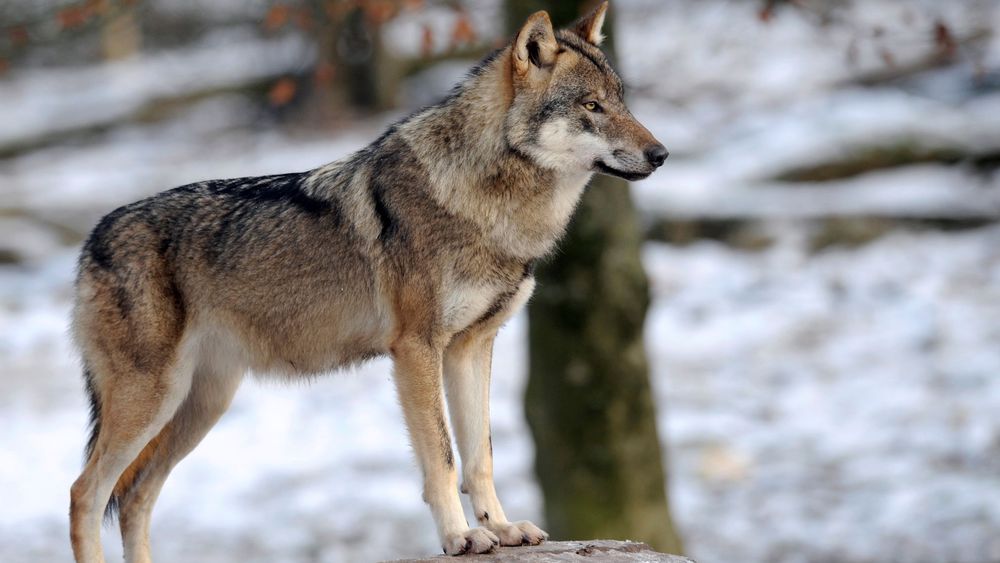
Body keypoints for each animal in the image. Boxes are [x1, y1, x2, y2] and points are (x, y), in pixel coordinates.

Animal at [68, 2, 667, 560]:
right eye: (591, 106)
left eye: (622, 100)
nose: (661, 154)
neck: (487, 203)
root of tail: (92, 238)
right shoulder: (416, 350)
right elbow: (443, 457)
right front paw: (460, 537)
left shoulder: (472, 347)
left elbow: (481, 455)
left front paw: (500, 528)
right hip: (153, 401)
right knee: (85, 493)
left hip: (200, 405)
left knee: (136, 499)